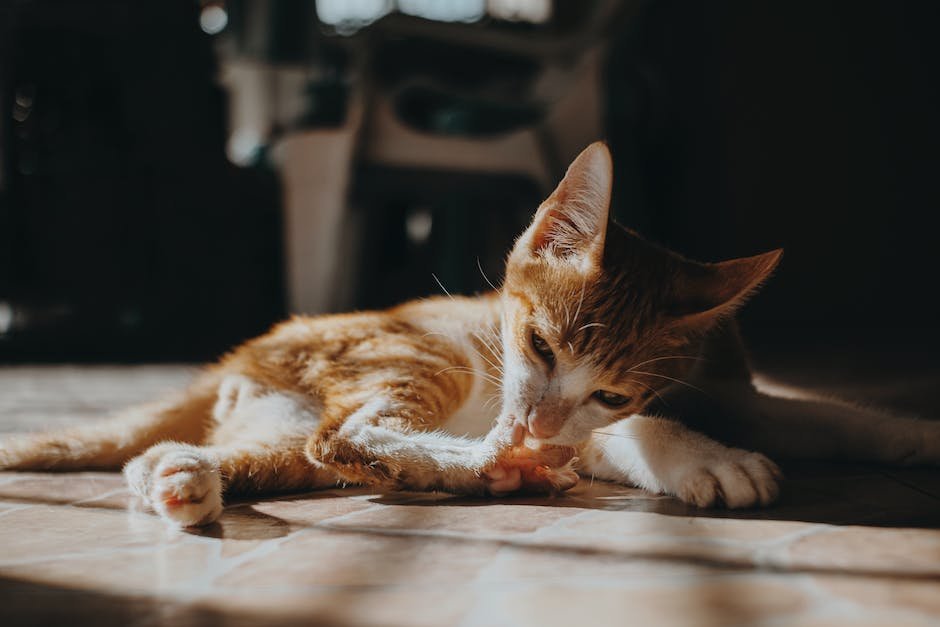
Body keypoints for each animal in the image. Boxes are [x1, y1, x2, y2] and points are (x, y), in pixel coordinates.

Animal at [3, 141, 936, 524]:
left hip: (274, 430)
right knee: (350, 436)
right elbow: (630, 436)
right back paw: (485, 467)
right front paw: (704, 457)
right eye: (540, 347)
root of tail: (246, 347)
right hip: (421, 354)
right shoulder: (550, 416)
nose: (532, 429)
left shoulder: (727, 387)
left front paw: (912, 434)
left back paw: (180, 478)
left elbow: (818, 412)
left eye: (611, 383)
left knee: (248, 451)